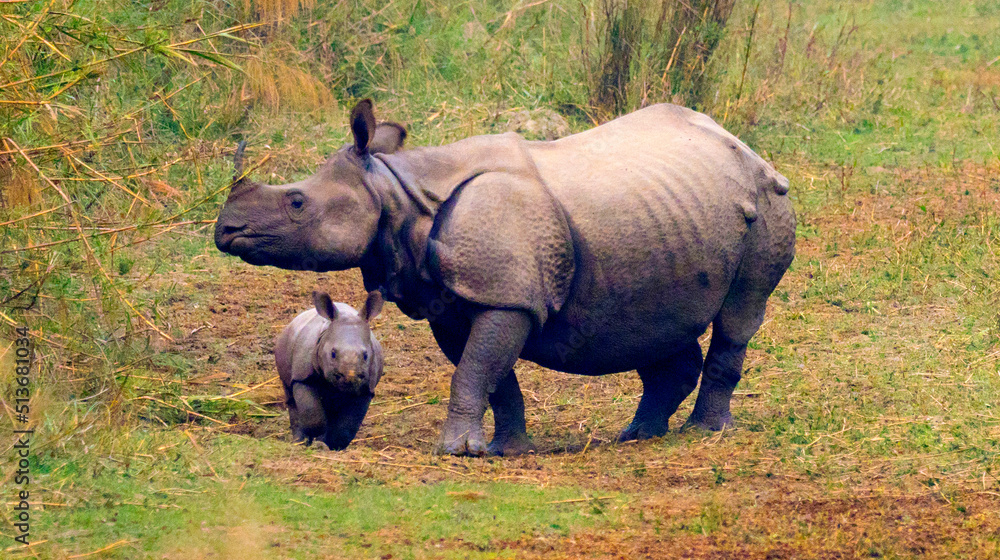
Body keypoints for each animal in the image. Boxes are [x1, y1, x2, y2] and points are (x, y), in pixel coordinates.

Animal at [274, 290, 384, 449]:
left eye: (365, 355)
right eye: (332, 353)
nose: (349, 377)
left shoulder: (366, 388)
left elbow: (347, 427)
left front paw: (333, 446)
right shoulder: (302, 376)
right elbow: (311, 412)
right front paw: (316, 439)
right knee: (291, 397)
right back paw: (299, 442)